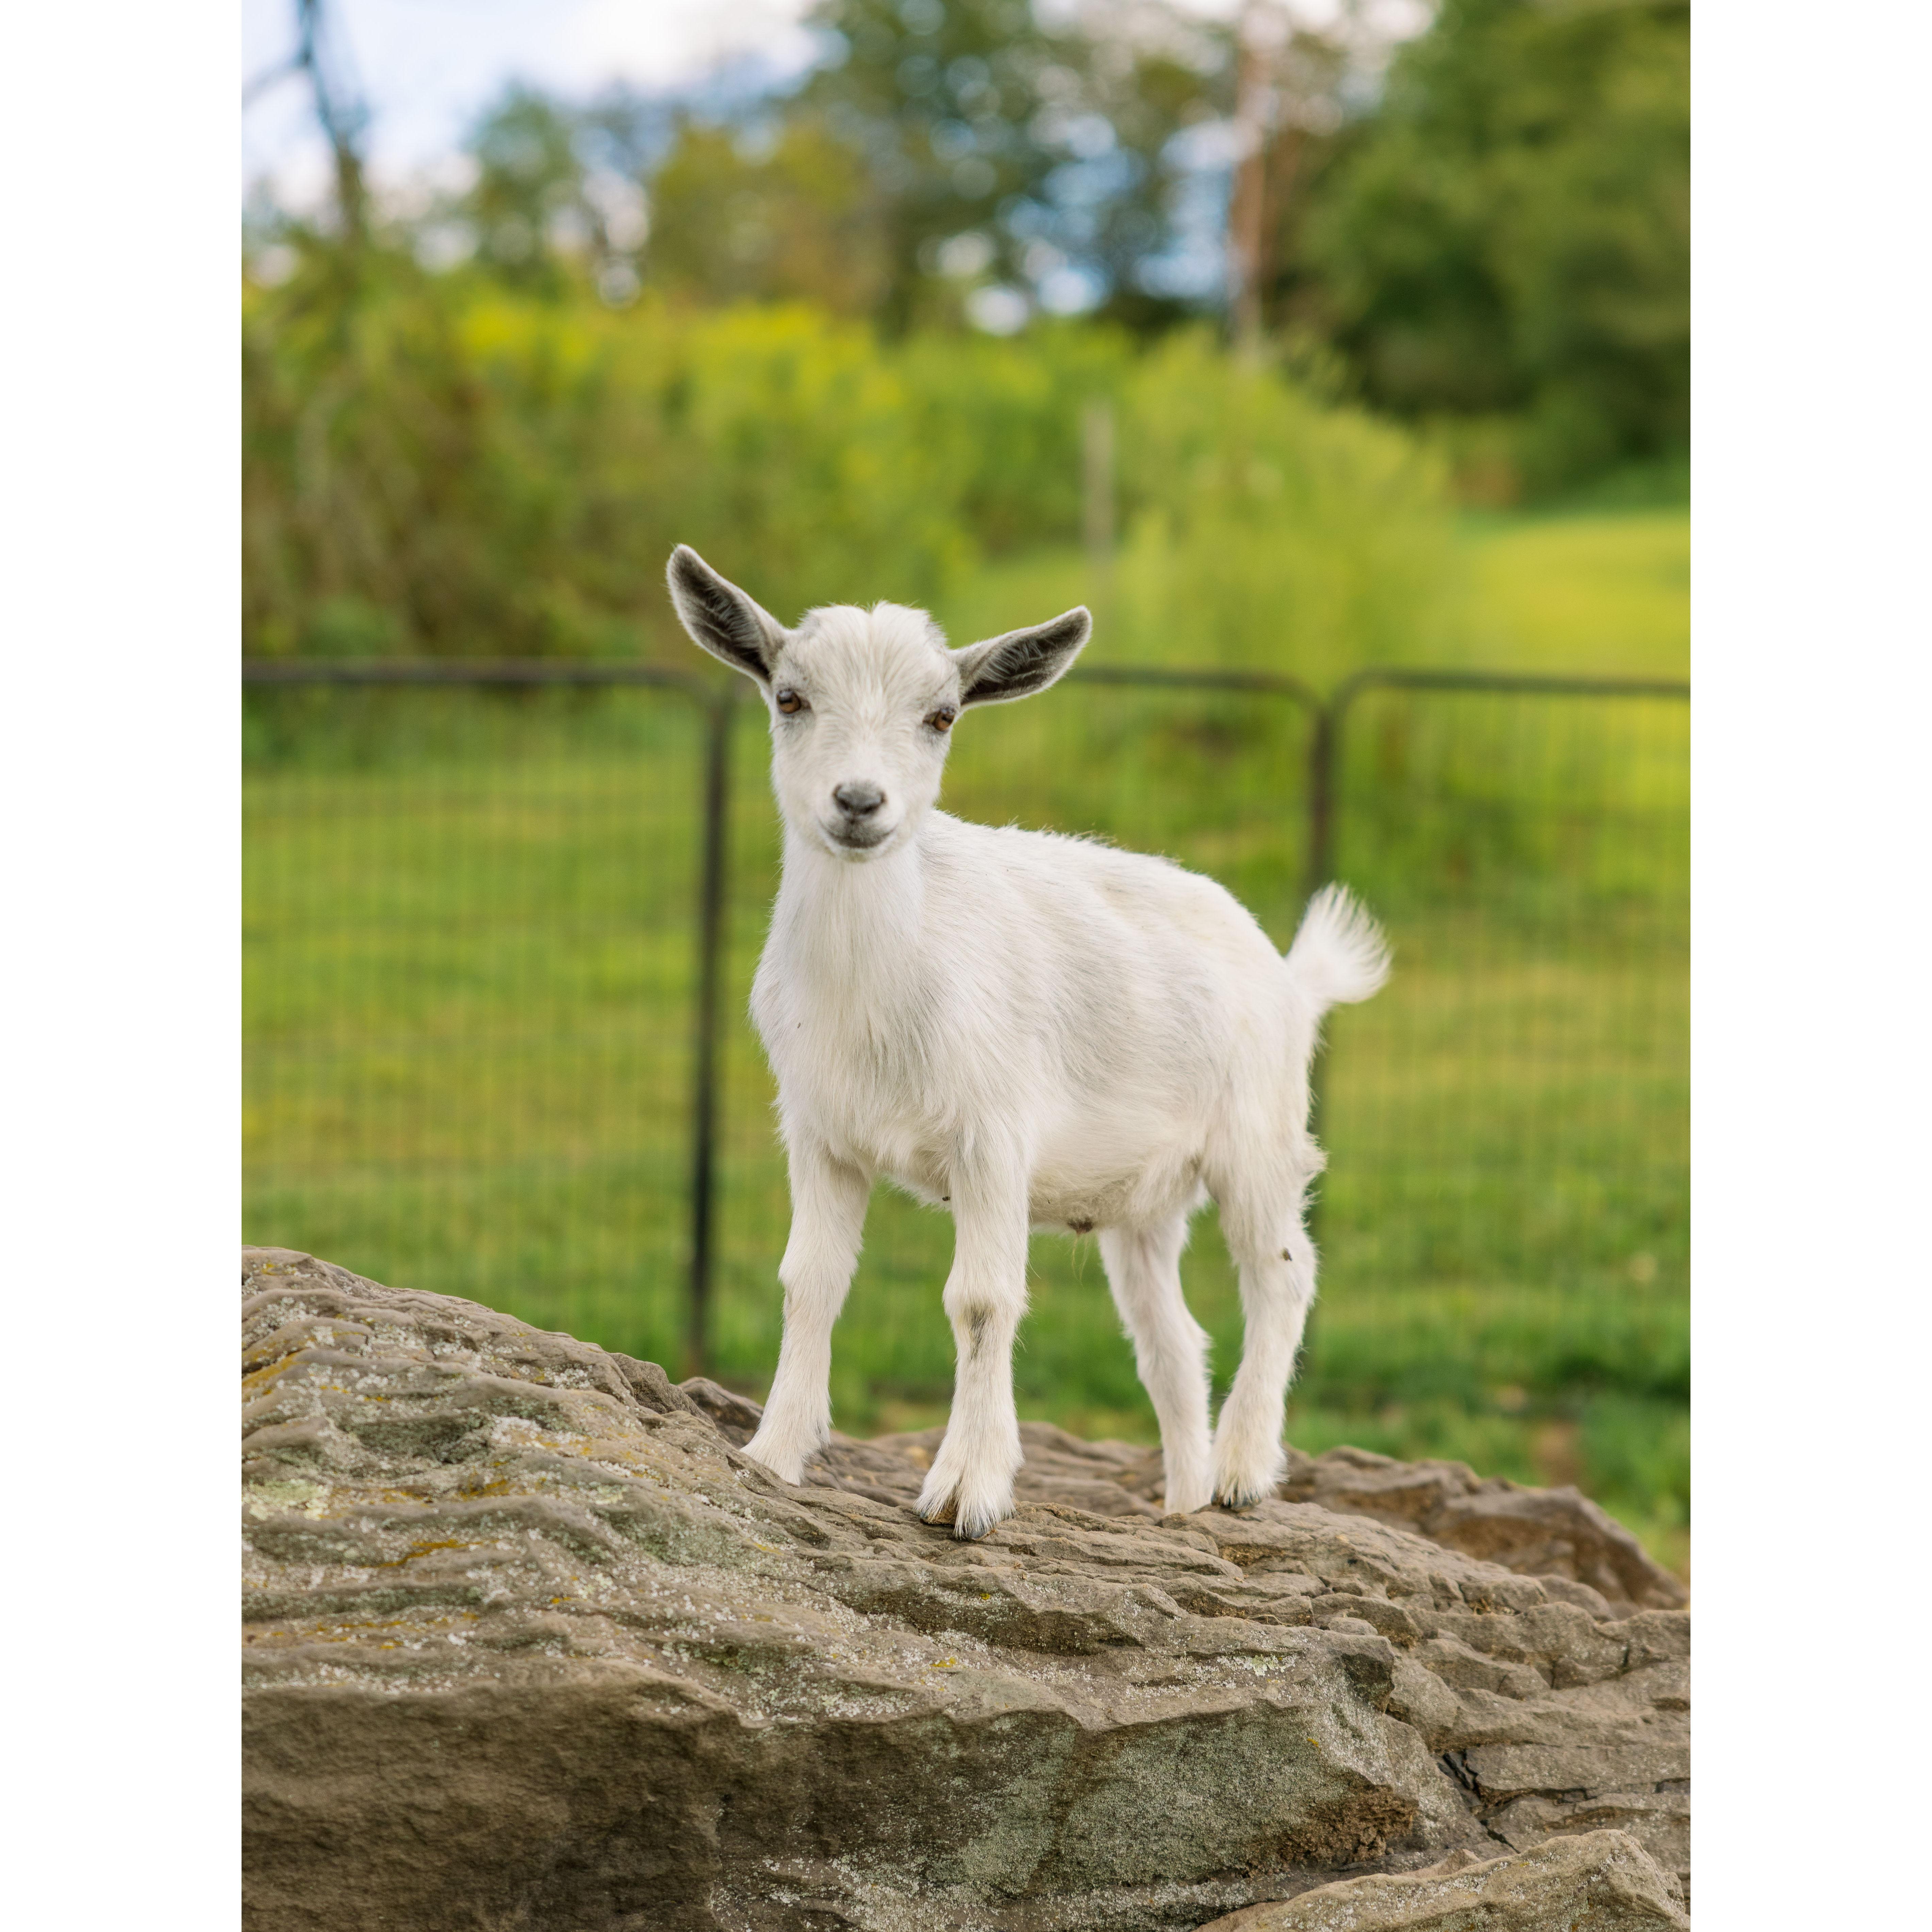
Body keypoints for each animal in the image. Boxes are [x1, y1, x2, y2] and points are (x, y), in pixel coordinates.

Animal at [666, 545, 1389, 1537]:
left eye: (940, 715)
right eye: (788, 696)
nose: (859, 801)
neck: (876, 987)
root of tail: (1288, 974)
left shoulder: (992, 1136)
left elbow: (978, 1300)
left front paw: (963, 1490)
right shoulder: (819, 1133)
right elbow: (807, 1278)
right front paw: (771, 1454)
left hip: (1259, 1137)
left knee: (1281, 1276)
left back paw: (1244, 1471)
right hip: (1142, 1207)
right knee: (1171, 1343)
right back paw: (1185, 1501)